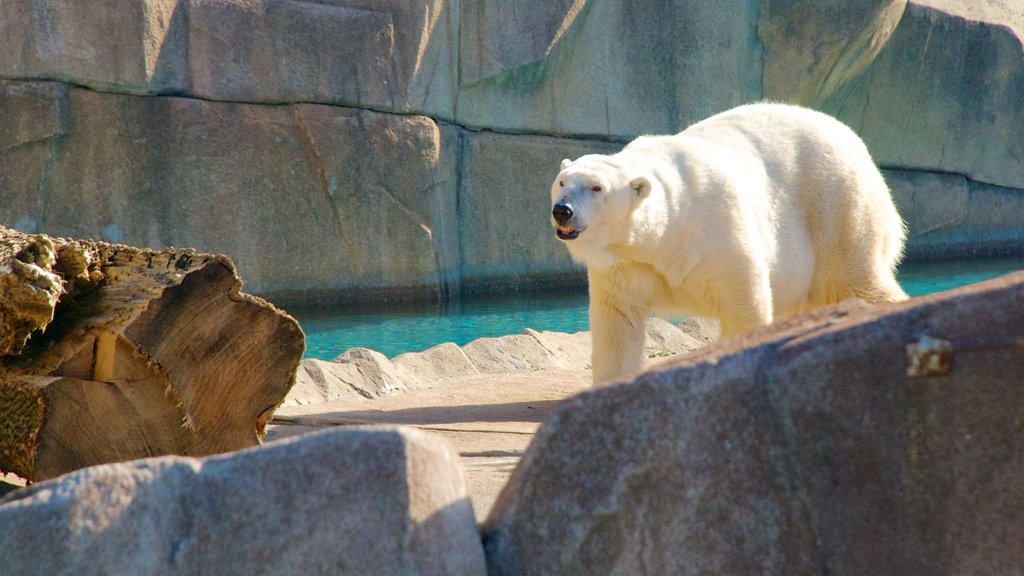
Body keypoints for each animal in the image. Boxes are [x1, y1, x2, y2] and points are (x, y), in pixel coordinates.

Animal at [557, 100, 909, 383]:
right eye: (562, 182)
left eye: (596, 188)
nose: (562, 210)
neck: (664, 233)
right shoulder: (624, 264)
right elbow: (618, 321)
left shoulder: (716, 230)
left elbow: (743, 301)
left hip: (837, 207)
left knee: (853, 280)